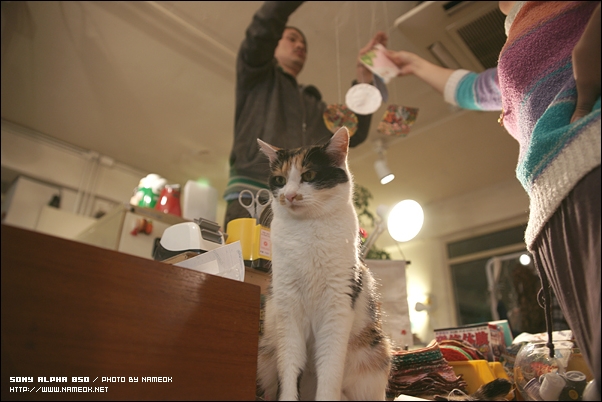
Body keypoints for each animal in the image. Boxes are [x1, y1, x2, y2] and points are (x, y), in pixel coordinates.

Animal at [254, 128, 392, 398]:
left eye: (308, 175)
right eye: (279, 180)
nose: (289, 196)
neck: (308, 229)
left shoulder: (337, 305)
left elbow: (329, 371)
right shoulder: (287, 306)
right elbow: (289, 368)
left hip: (375, 355)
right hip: (265, 352)